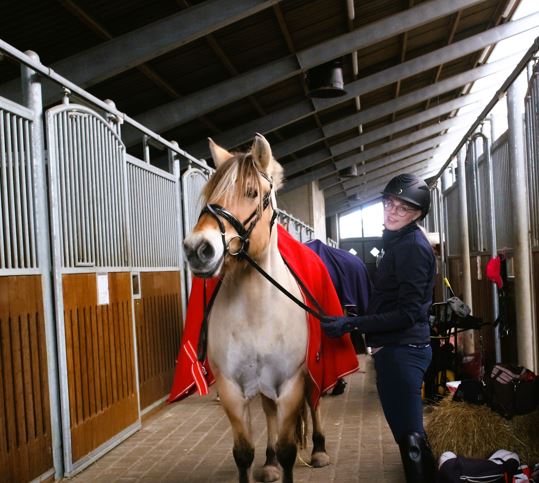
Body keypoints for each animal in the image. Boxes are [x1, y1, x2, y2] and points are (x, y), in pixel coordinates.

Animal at [184, 135, 332, 483]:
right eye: (210, 194)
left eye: (252, 192)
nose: (198, 249)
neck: (257, 313)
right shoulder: (231, 389)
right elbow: (243, 453)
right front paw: (266, 460)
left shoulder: (291, 383)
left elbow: (289, 449)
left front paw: (294, 456)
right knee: (268, 413)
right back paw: (269, 462)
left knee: (315, 403)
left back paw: (319, 449)